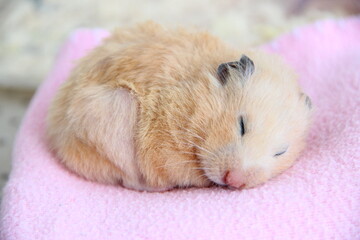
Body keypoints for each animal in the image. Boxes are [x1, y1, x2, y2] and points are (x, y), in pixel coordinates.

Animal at [46, 22, 312, 191]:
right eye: (241, 126)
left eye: (280, 152)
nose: (235, 181)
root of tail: (57, 134)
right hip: (113, 113)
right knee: (127, 180)